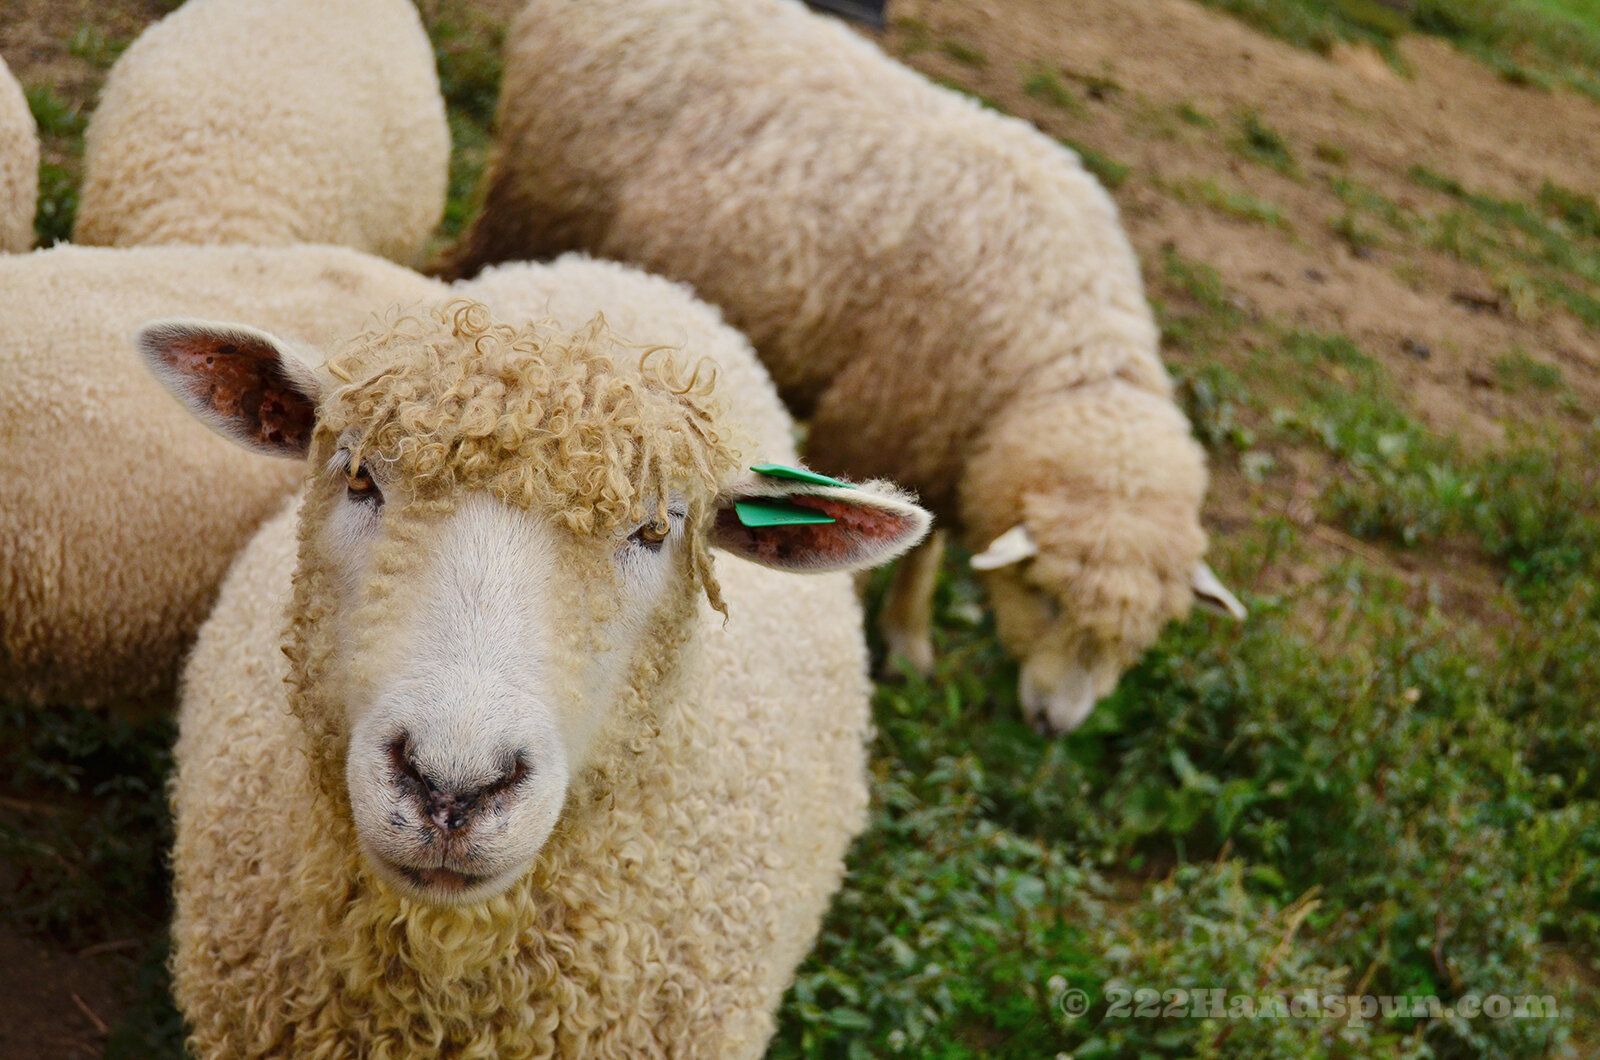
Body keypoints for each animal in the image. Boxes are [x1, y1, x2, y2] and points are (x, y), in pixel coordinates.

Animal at [446, 0, 1245, 733]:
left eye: (1139, 639)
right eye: (1046, 597)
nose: (1055, 725)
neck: (1060, 358)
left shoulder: (938, 434)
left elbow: (928, 549)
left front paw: (910, 641)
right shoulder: (879, 419)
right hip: (534, 201)